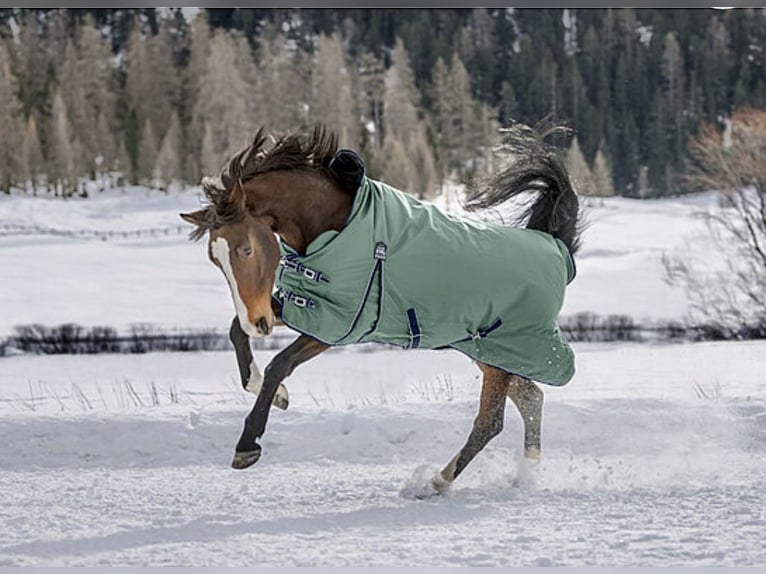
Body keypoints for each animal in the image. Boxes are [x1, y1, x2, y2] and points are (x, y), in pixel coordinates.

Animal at [180, 123, 581, 495]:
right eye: (215, 260)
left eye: (245, 250)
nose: (258, 322)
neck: (337, 225)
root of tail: (555, 246)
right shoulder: (309, 305)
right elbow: (236, 332)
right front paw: (275, 393)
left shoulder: (339, 324)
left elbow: (279, 364)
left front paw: (247, 444)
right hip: (492, 354)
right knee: (531, 399)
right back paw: (526, 476)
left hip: (505, 353)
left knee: (491, 422)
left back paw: (437, 482)